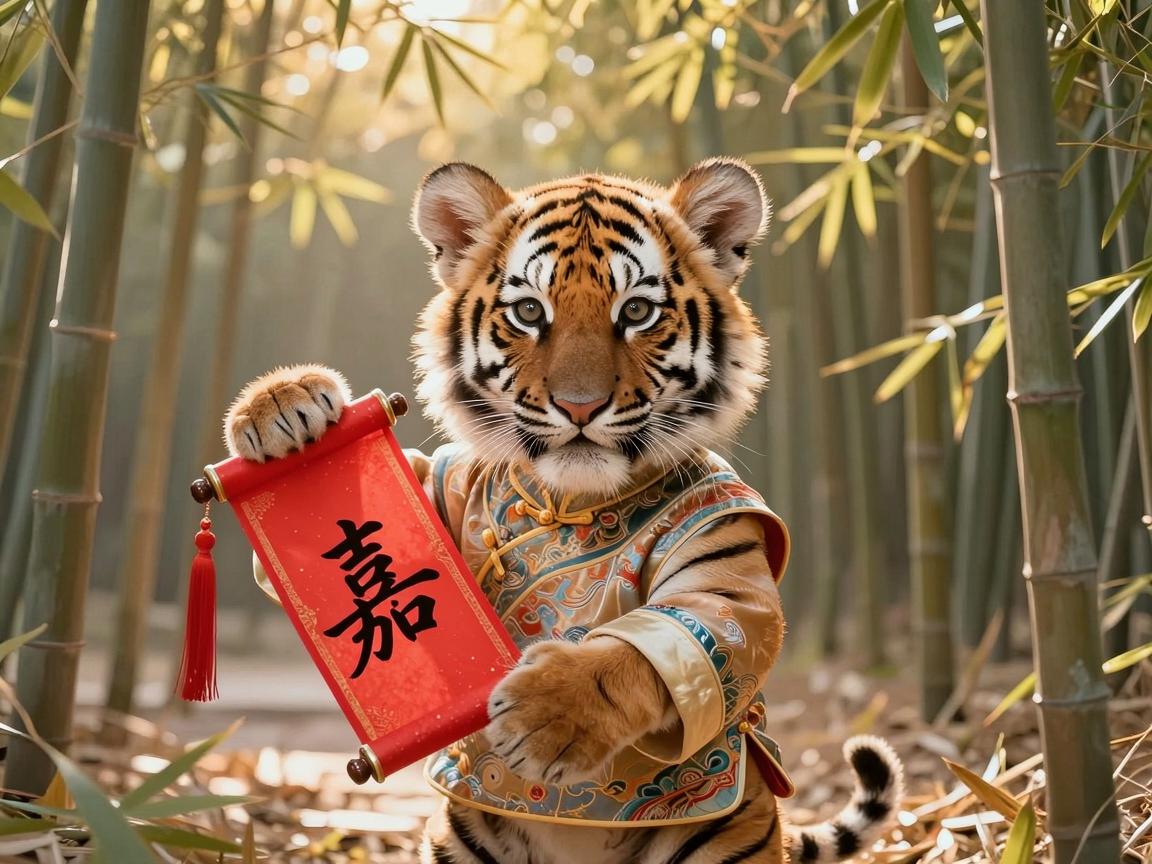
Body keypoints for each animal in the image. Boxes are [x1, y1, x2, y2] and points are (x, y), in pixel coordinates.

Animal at [223, 158, 904, 863]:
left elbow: (676, 636)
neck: (572, 500)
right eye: (529, 311)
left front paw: (550, 714)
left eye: (636, 311)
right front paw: (284, 407)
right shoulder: (444, 494)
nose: (580, 406)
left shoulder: (721, 548)